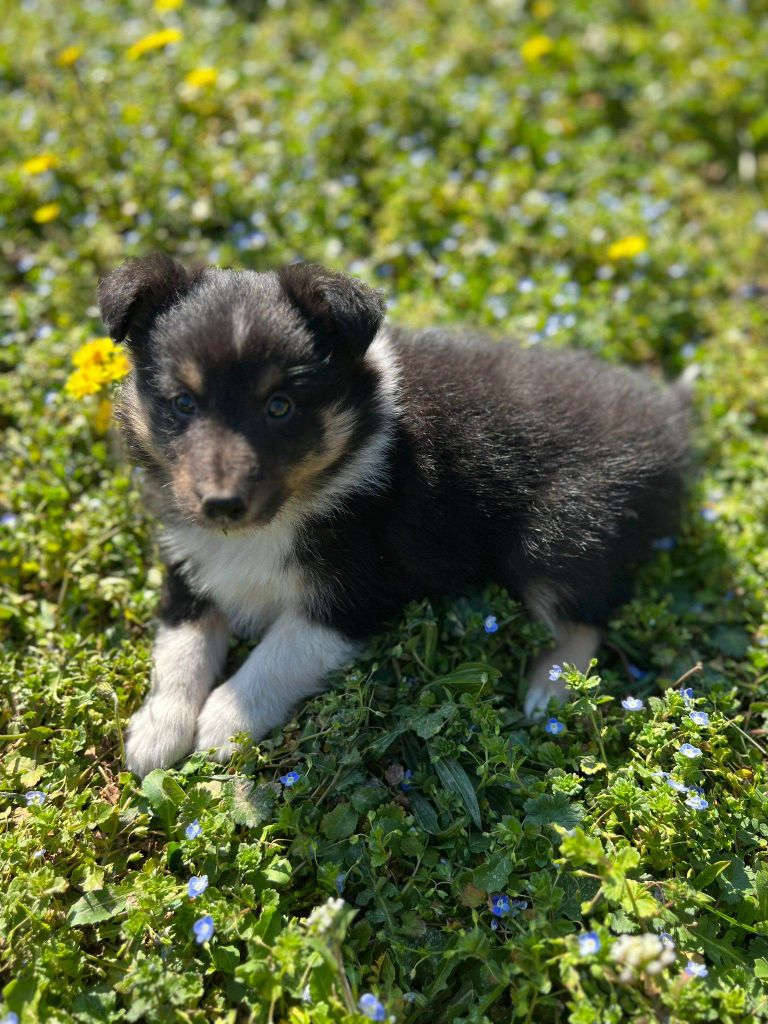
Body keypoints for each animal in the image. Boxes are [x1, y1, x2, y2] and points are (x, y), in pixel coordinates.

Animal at [97, 253, 692, 774]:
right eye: (183, 403)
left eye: (279, 407)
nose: (221, 505)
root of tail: (666, 426)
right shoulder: (189, 559)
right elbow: (181, 642)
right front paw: (157, 729)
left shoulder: (359, 591)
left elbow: (279, 651)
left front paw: (225, 722)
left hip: (555, 535)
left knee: (590, 615)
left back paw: (548, 688)